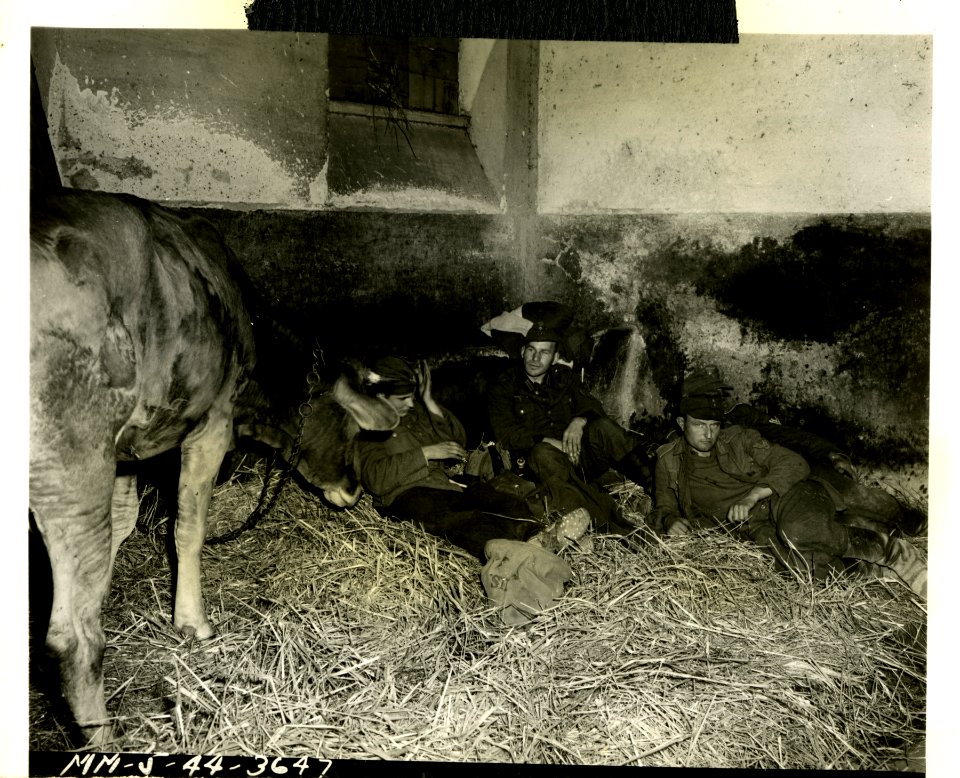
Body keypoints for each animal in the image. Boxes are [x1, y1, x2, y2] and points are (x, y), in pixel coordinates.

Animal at [29, 185, 398, 744]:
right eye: (354, 428)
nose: (353, 491)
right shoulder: (212, 423)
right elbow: (188, 527)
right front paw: (192, 621)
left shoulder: (125, 452)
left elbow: (123, 522)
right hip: (72, 462)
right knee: (72, 637)